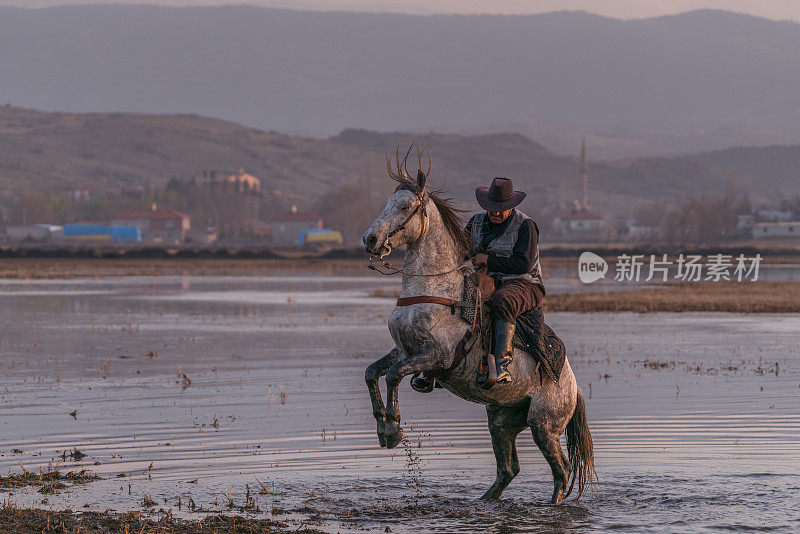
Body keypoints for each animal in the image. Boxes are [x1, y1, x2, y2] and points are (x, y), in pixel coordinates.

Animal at [362, 156, 592, 506]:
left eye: (405, 206)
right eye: (387, 203)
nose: (370, 240)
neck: (433, 289)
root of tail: (571, 385)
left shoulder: (434, 355)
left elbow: (391, 376)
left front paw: (393, 430)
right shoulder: (403, 350)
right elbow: (372, 373)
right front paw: (382, 427)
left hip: (544, 425)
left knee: (561, 470)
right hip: (500, 421)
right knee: (508, 469)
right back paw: (483, 501)